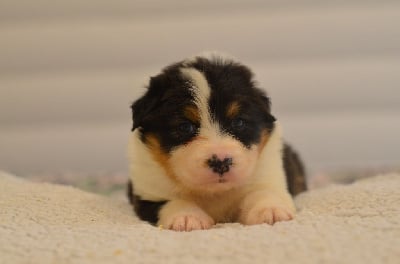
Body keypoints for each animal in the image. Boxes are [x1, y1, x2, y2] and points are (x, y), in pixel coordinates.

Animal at [128, 53, 306, 231]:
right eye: (185, 127)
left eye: (239, 122)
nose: (221, 162)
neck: (215, 193)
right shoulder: (148, 192)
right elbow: (171, 201)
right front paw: (187, 217)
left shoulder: (269, 175)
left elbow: (263, 192)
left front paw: (271, 210)